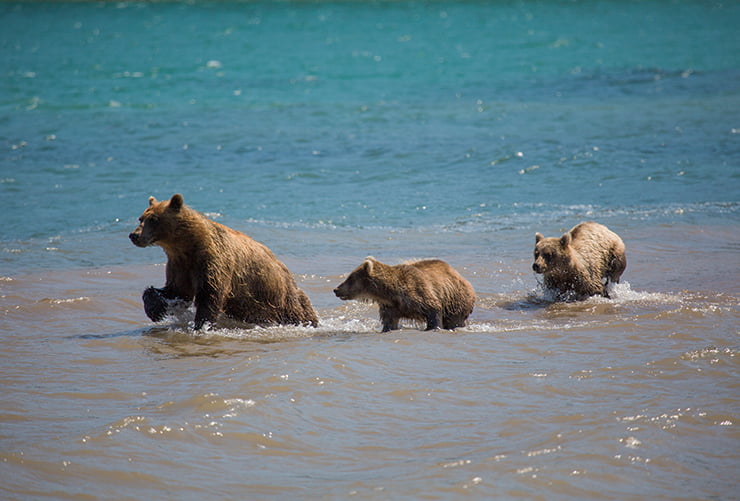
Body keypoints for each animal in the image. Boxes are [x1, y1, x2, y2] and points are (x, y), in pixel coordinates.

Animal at [129, 193, 318, 330]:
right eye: (141, 218)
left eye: (154, 219)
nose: (134, 235)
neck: (185, 245)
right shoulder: (180, 265)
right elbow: (176, 291)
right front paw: (155, 309)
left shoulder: (212, 261)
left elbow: (210, 293)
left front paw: (201, 325)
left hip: (281, 297)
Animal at [334, 258, 474, 332]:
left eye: (350, 278)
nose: (336, 289)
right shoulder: (390, 307)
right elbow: (389, 323)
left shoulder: (420, 294)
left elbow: (433, 310)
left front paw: (433, 327)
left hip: (456, 301)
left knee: (454, 320)